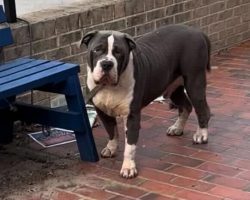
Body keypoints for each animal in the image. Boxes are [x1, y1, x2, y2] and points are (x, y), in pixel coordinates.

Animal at [80, 24, 211, 178]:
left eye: (118, 52)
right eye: (97, 49)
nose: (107, 63)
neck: (109, 87)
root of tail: (197, 31)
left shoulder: (132, 116)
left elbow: (130, 146)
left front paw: (128, 167)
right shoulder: (102, 112)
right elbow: (111, 131)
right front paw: (111, 148)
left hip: (194, 82)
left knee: (202, 110)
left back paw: (201, 134)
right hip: (174, 88)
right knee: (186, 106)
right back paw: (177, 128)